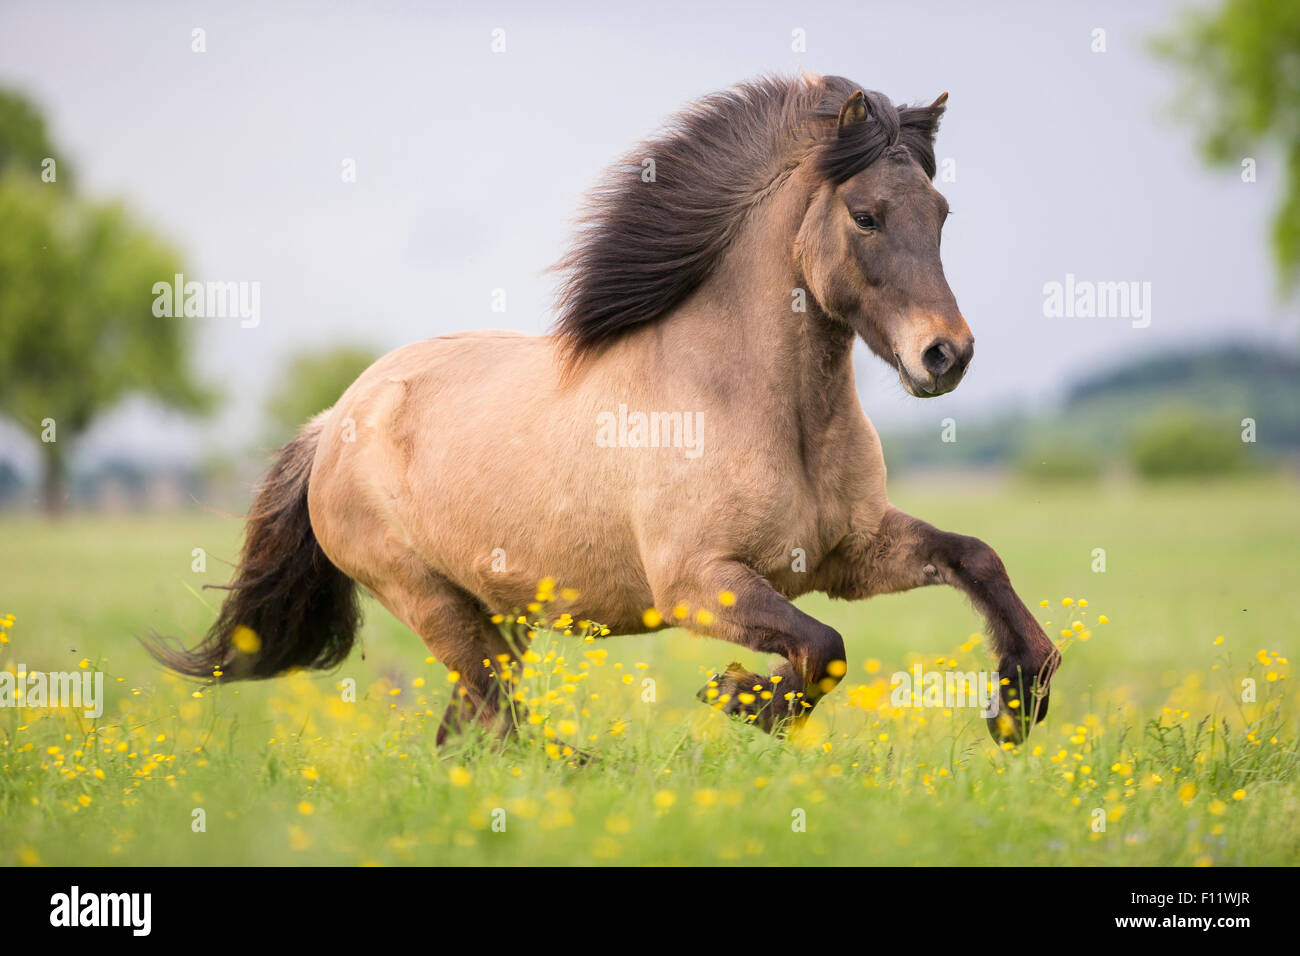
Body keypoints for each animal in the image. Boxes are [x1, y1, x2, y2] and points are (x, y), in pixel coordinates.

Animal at [149, 74, 1055, 749]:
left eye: (940, 214)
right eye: (865, 215)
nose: (946, 356)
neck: (755, 409)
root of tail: (335, 421)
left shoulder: (849, 557)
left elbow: (975, 560)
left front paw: (1018, 703)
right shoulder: (700, 584)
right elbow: (822, 649)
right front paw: (737, 696)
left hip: (495, 614)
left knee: (468, 734)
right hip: (436, 608)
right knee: (498, 726)